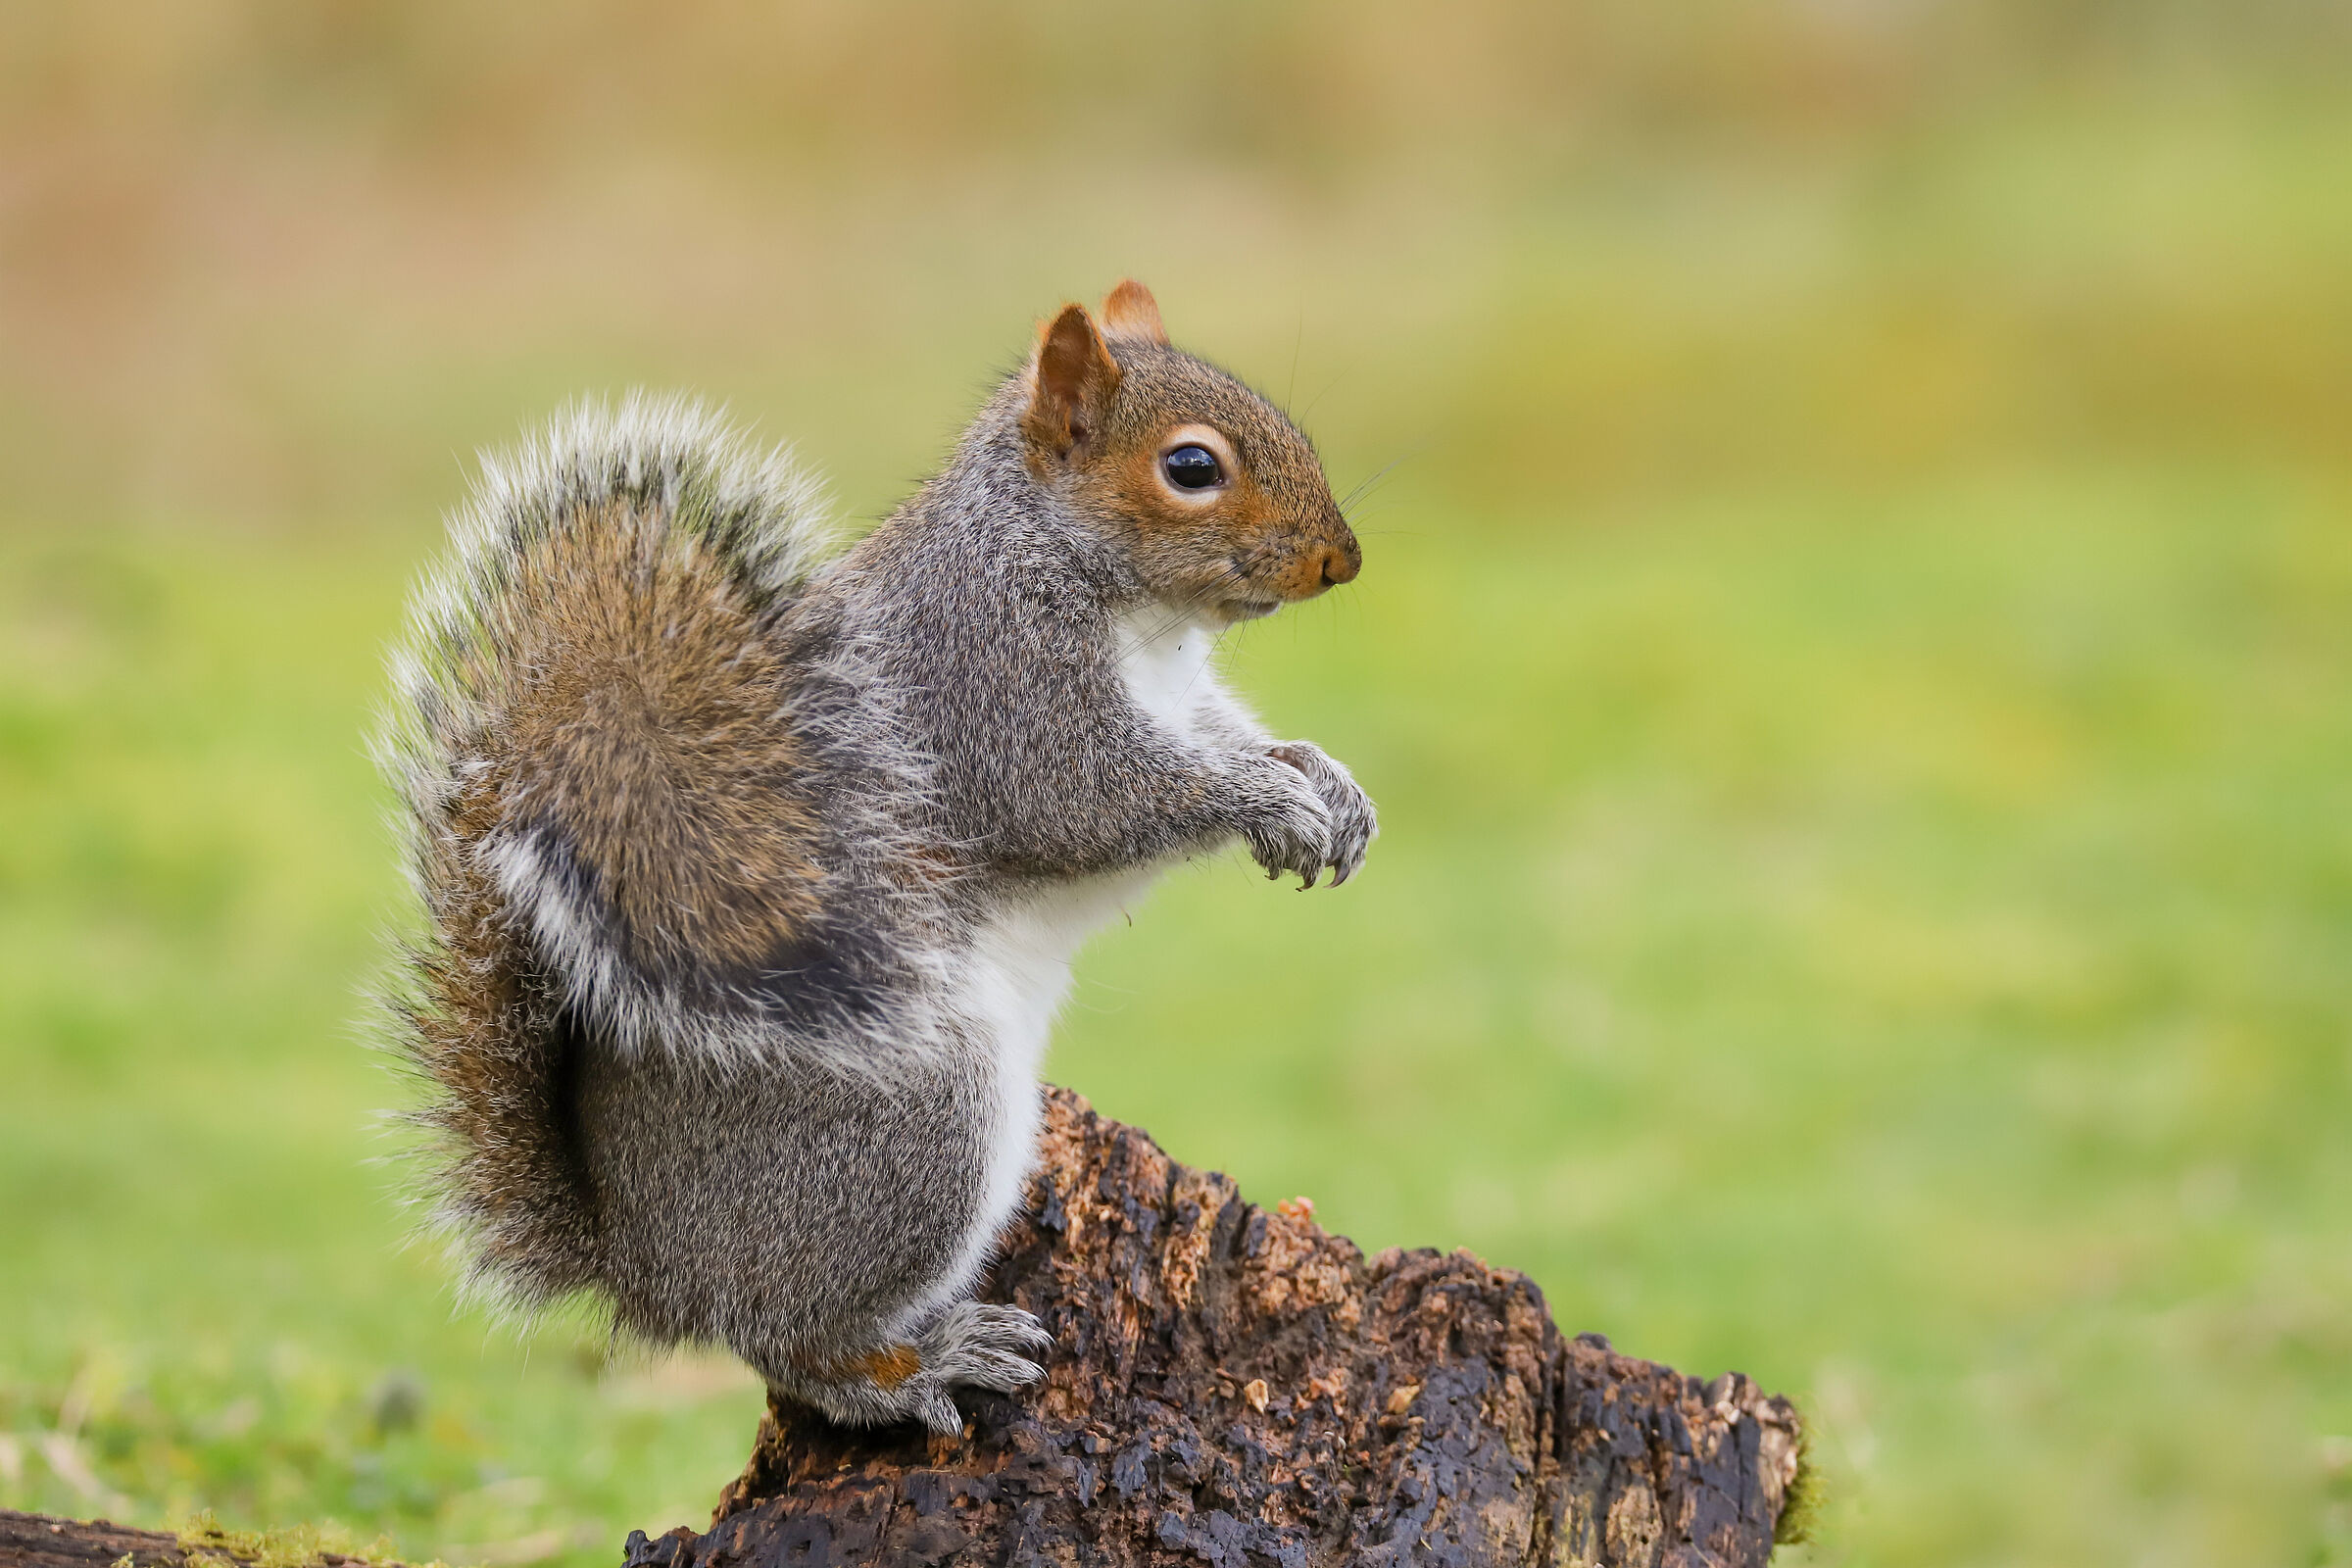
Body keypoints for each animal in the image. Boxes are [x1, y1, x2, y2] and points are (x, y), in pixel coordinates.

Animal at [380, 281, 1373, 1439]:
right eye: (1191, 467)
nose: (1341, 560)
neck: (1133, 612)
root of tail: (643, 1267)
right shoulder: (995, 680)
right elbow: (1090, 799)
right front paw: (1266, 801)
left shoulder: (1186, 700)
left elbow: (1233, 737)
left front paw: (1323, 782)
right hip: (916, 1124)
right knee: (790, 1342)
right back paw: (921, 1364)